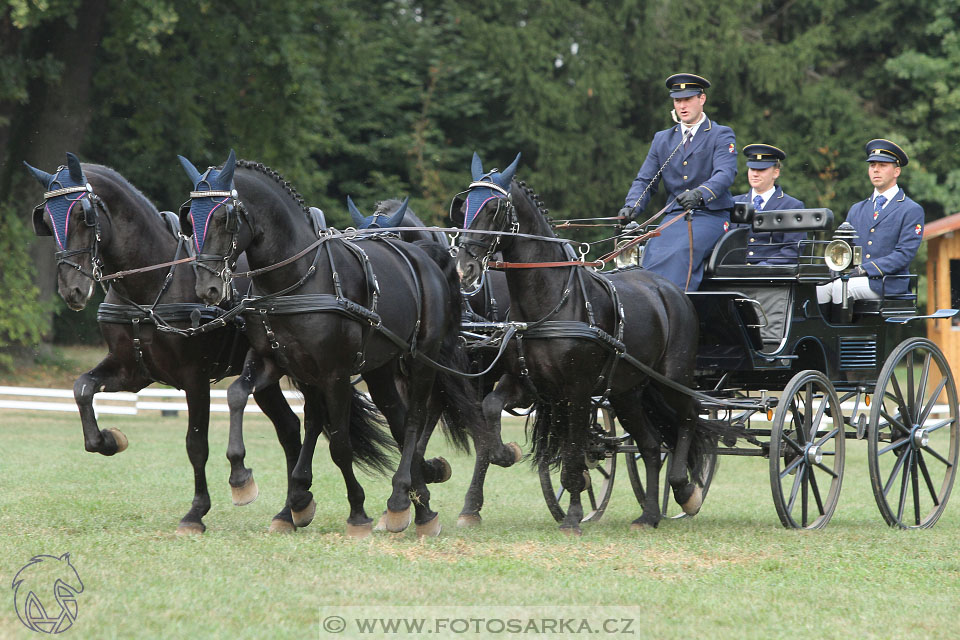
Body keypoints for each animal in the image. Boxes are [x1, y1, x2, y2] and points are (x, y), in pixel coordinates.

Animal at [23, 155, 304, 536]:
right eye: (47, 220)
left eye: (84, 215)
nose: (73, 291)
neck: (154, 282)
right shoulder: (132, 371)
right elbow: (82, 389)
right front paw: (110, 440)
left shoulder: (195, 378)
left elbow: (196, 444)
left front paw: (195, 513)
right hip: (265, 378)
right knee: (289, 429)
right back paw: (288, 513)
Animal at [178, 152, 478, 536]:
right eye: (190, 217)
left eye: (224, 217)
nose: (208, 288)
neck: (296, 279)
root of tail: (423, 256)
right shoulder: (274, 360)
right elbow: (236, 395)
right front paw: (242, 477)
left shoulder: (335, 374)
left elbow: (339, 443)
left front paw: (357, 512)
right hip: (378, 367)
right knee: (392, 416)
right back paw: (419, 503)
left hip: (420, 360)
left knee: (412, 420)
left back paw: (402, 500)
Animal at [454, 152, 708, 532]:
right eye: (464, 205)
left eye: (495, 208)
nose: (464, 268)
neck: (552, 300)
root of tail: (671, 290)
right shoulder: (525, 384)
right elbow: (490, 410)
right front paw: (506, 454)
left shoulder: (576, 391)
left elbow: (574, 452)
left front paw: (573, 516)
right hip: (626, 393)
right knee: (650, 446)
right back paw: (648, 515)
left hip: (673, 378)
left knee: (688, 418)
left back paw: (684, 489)